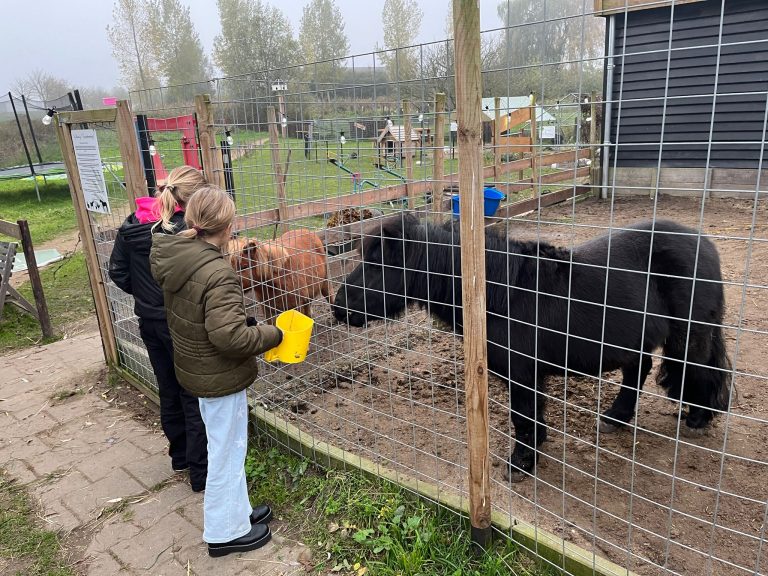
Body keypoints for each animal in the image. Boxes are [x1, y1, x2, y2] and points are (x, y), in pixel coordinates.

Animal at [332, 214, 736, 480]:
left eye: (378, 263)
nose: (338, 306)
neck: (499, 293)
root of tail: (704, 243)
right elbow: (529, 418)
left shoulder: (524, 375)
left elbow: (523, 418)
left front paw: (522, 463)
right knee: (637, 374)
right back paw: (616, 417)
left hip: (691, 336)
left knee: (703, 369)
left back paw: (698, 418)